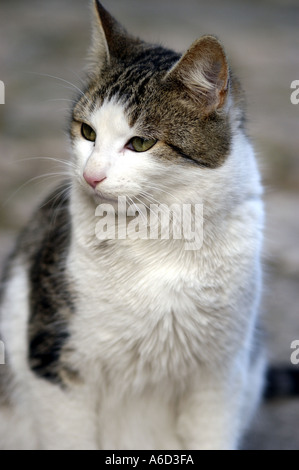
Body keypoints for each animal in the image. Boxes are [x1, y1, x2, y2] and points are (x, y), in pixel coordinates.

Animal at [0, 0, 268, 448]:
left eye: (141, 143)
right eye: (87, 132)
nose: (91, 175)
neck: (159, 233)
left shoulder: (220, 377)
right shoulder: (56, 359)